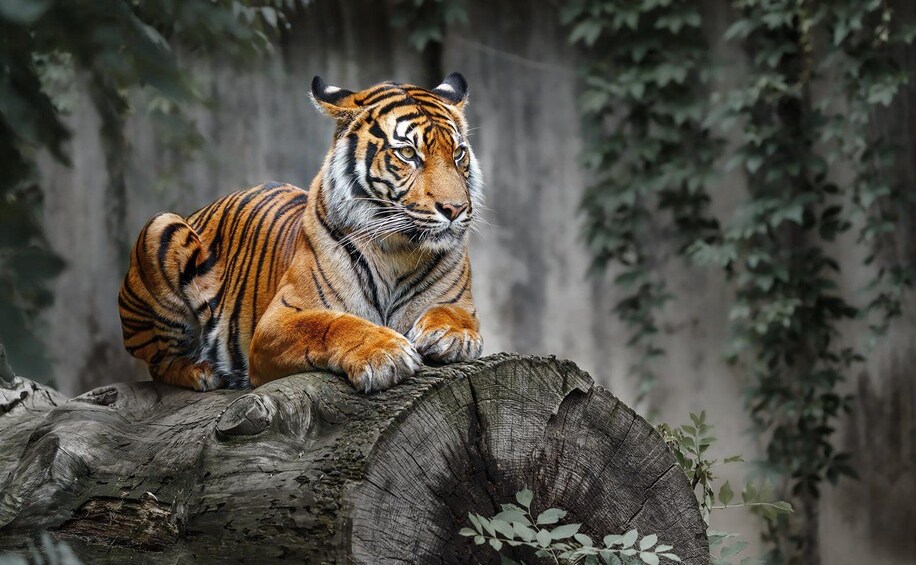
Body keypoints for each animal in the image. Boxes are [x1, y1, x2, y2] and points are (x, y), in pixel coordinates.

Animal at [118, 73, 483, 393]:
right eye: (407, 153)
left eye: (458, 153)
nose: (455, 209)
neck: (398, 252)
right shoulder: (276, 322)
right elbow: (331, 324)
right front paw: (384, 352)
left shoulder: (458, 301)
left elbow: (456, 313)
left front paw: (452, 335)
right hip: (161, 227)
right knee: (158, 363)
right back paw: (201, 371)